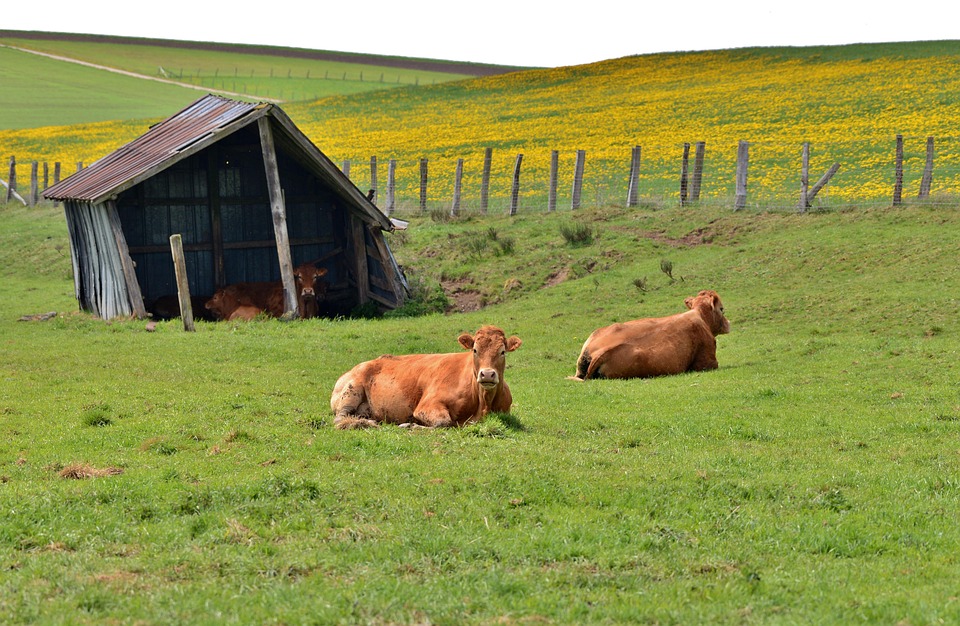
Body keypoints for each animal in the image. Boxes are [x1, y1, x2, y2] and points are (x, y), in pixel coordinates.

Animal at [330, 325, 522, 429]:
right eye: (475, 350)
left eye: (502, 351)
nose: (487, 374)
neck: (483, 404)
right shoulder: (427, 406)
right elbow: (443, 422)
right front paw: (409, 425)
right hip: (351, 392)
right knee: (340, 417)